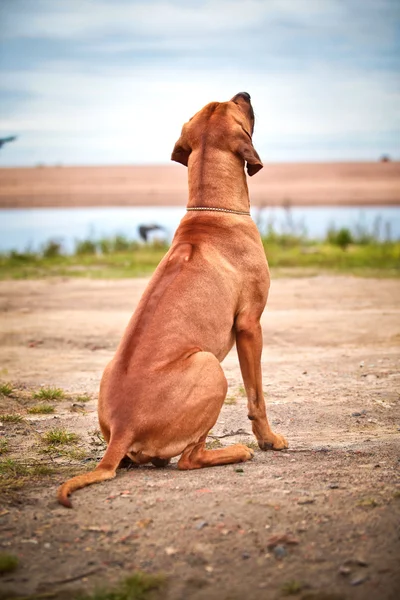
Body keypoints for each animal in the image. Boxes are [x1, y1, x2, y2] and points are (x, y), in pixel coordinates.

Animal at [57, 91, 288, 508]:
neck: (211, 210)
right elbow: (257, 396)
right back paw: (235, 451)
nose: (245, 93)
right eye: (237, 107)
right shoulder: (250, 326)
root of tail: (123, 429)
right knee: (188, 459)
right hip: (209, 366)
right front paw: (268, 440)